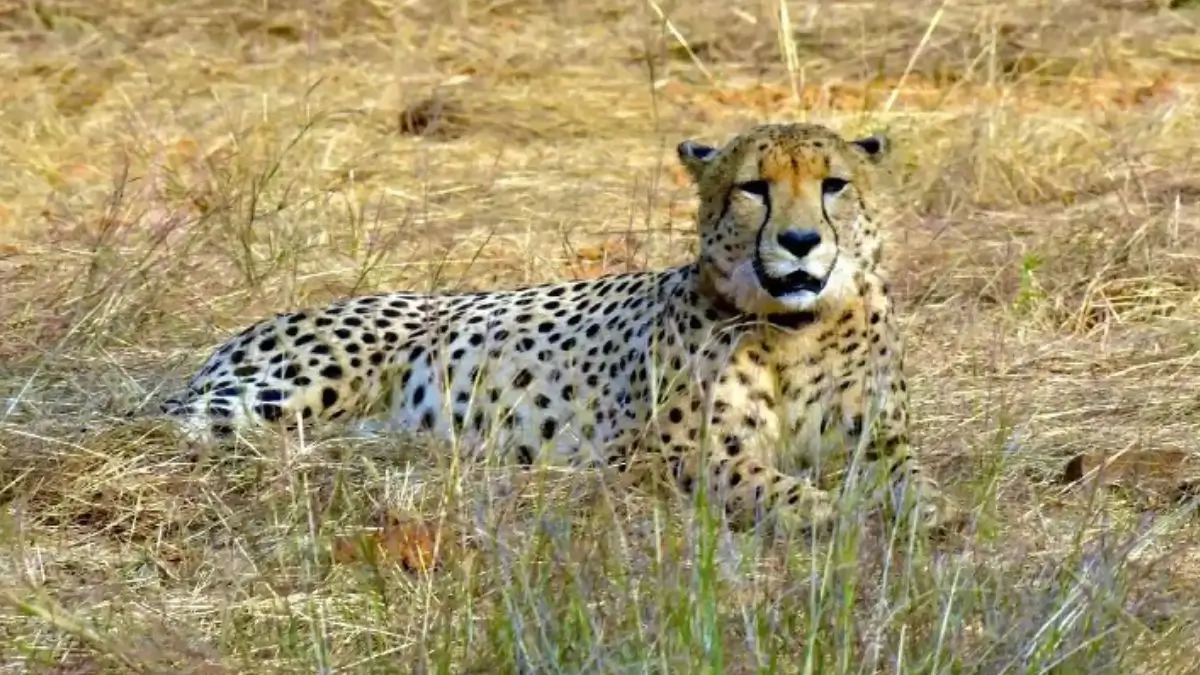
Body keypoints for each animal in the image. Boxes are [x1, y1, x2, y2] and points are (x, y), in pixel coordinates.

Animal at [159, 121, 958, 536]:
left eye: (834, 185)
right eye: (753, 188)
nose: (798, 242)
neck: (795, 328)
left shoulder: (879, 440)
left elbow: (913, 480)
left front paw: (926, 514)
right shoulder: (671, 454)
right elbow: (768, 484)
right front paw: (830, 512)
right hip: (281, 392)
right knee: (169, 426)